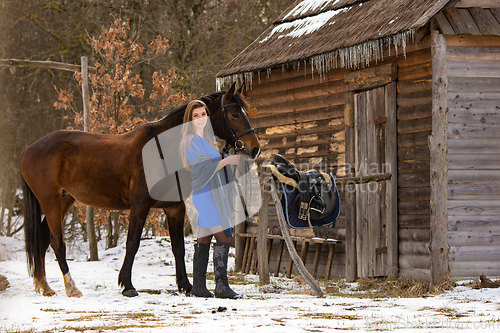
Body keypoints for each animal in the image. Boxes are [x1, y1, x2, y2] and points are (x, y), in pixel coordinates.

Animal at [21, 82, 260, 296]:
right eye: (234, 115)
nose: (255, 148)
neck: (164, 149)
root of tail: (29, 149)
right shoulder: (140, 206)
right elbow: (132, 243)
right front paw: (127, 285)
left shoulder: (175, 209)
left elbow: (178, 247)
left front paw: (186, 286)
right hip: (50, 201)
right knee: (57, 243)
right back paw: (71, 288)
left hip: (63, 200)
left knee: (44, 239)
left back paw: (45, 286)